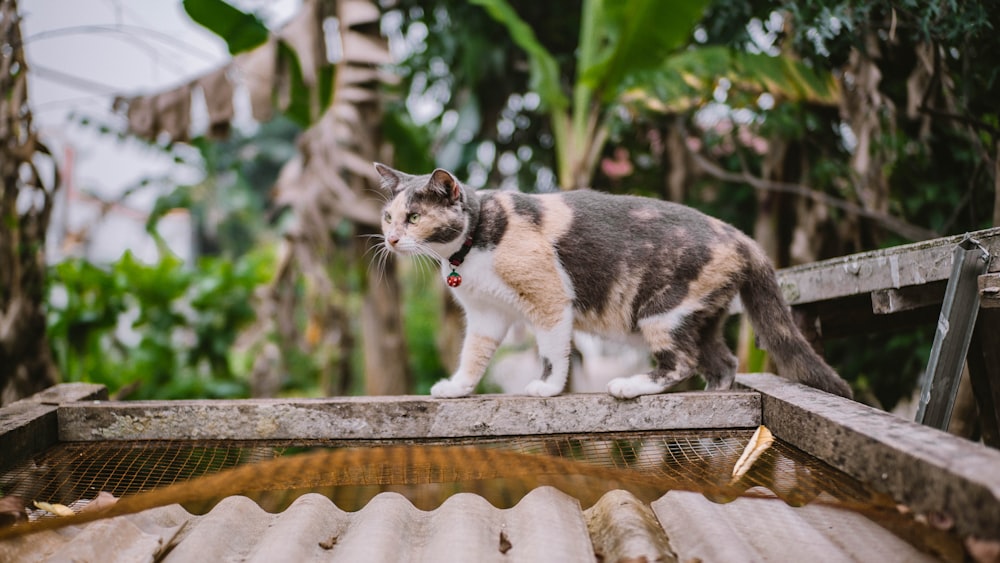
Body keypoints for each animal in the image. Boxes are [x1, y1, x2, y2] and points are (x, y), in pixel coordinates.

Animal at [374, 163, 852, 400]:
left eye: (413, 217)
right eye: (387, 216)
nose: (391, 239)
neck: (472, 243)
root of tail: (741, 236)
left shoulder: (549, 300)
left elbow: (552, 353)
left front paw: (548, 389)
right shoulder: (486, 314)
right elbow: (473, 355)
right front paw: (457, 388)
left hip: (661, 311)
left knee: (682, 361)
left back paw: (630, 386)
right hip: (702, 316)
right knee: (723, 361)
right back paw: (711, 395)